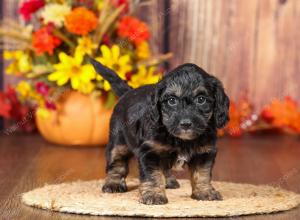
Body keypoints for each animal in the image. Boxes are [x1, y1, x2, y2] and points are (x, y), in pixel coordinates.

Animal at [90, 58, 229, 205]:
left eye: (201, 100)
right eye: (172, 101)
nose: (185, 123)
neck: (180, 140)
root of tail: (128, 93)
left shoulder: (204, 152)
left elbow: (202, 173)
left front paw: (204, 192)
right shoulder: (150, 152)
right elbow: (153, 175)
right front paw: (154, 195)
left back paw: (168, 181)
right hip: (118, 142)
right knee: (117, 162)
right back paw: (113, 183)